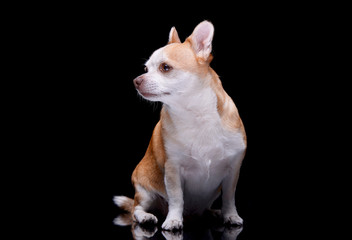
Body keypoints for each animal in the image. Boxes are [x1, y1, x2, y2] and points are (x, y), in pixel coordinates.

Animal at [114, 20, 246, 231]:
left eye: (165, 67)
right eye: (146, 69)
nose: (136, 80)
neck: (195, 114)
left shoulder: (233, 170)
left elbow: (229, 197)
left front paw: (231, 215)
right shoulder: (173, 170)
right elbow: (177, 198)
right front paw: (173, 220)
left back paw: (215, 213)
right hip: (144, 191)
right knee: (136, 209)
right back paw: (146, 217)